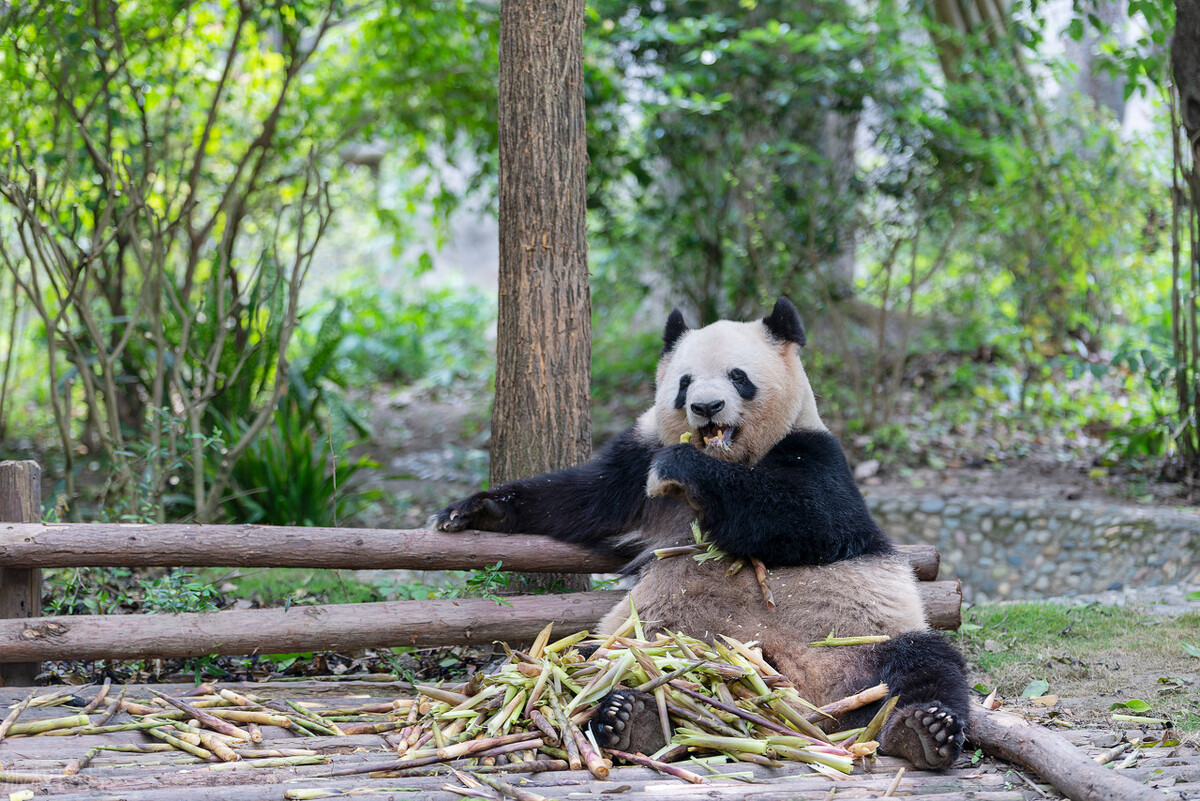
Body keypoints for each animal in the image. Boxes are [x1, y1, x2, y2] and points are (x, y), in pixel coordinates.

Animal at [436, 298, 969, 767]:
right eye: (684, 382)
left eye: (739, 376)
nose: (707, 406)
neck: (729, 455)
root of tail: (800, 705)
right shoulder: (636, 462)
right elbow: (578, 499)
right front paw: (472, 510)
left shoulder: (819, 456)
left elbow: (809, 519)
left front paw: (685, 467)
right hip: (641, 642)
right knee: (593, 660)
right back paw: (631, 718)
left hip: (856, 646)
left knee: (925, 665)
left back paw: (924, 731)